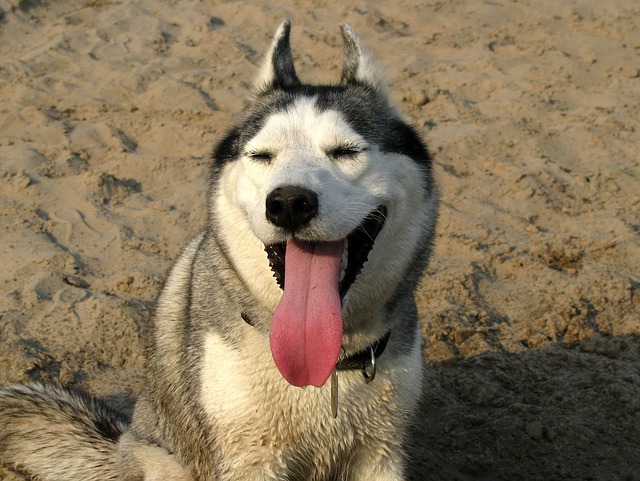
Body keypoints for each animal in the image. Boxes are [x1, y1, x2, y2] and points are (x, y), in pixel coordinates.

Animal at [0, 21, 438, 480]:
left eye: (346, 152)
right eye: (261, 156)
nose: (289, 203)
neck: (328, 366)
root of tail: (122, 442)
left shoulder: (380, 454)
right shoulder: (250, 457)